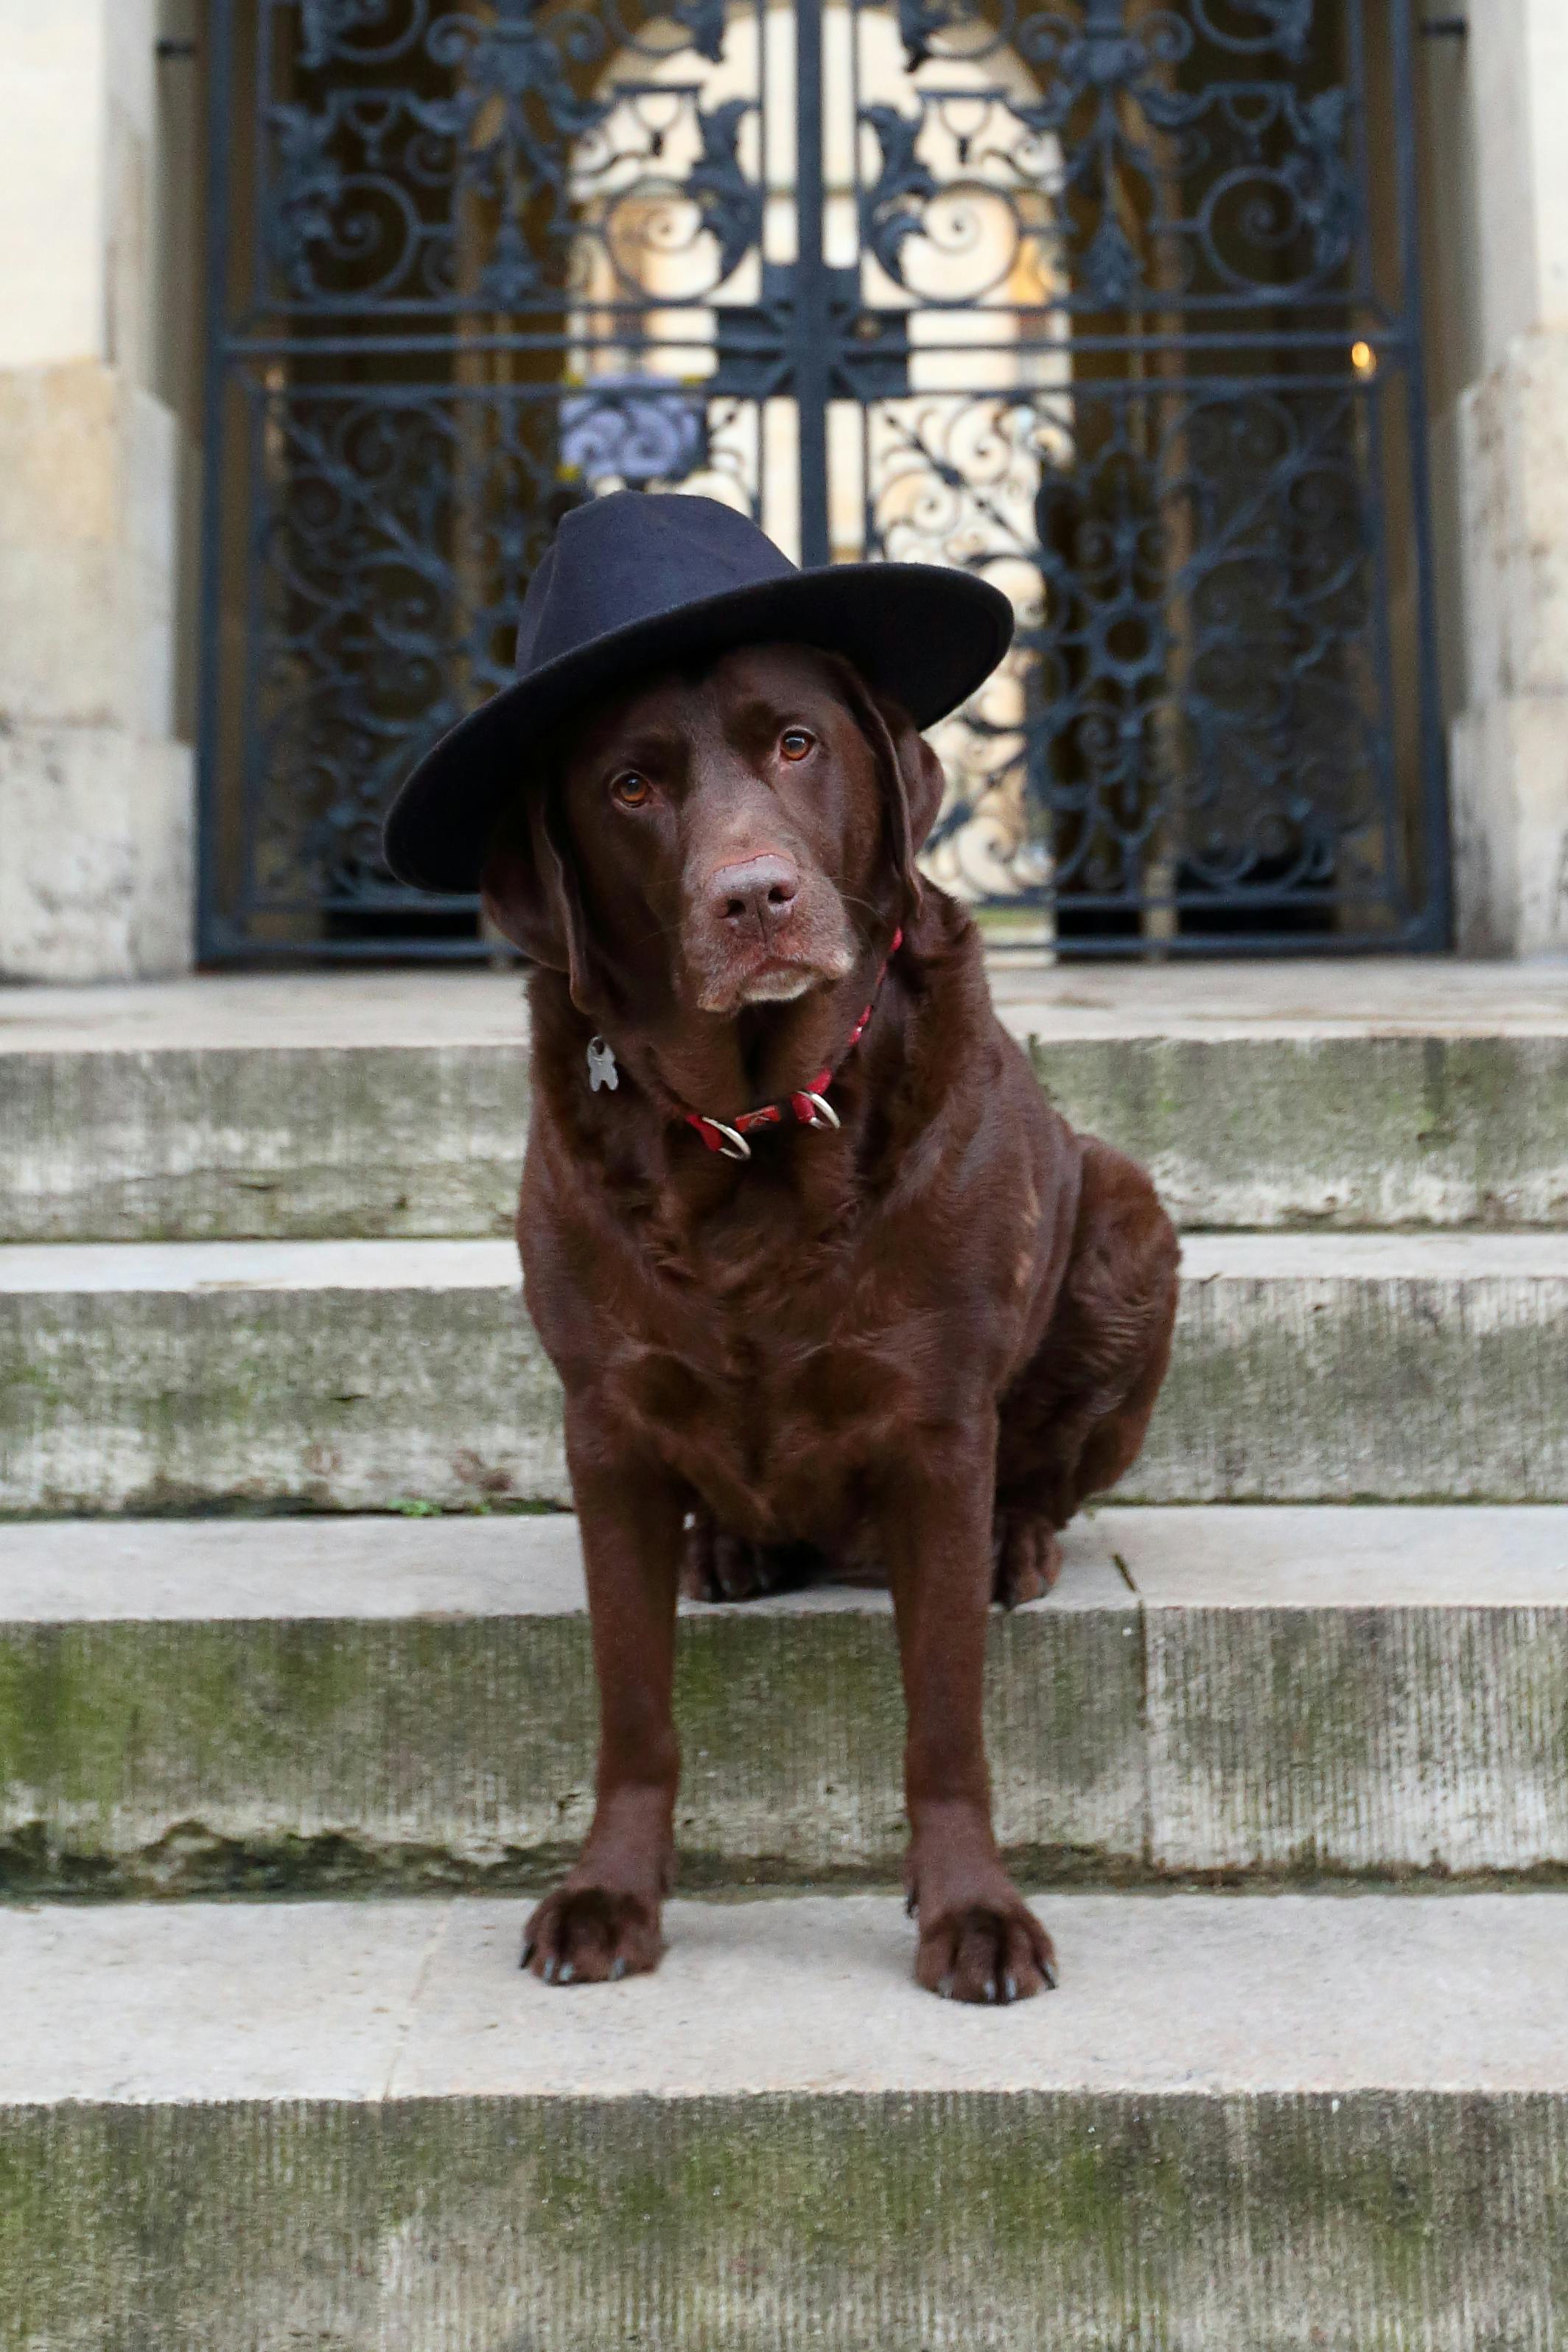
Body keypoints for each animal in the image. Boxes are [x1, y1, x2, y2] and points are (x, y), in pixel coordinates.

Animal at [482, 640, 1175, 2003]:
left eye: (797, 744)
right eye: (631, 785)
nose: (754, 896)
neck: (752, 1135)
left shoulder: (937, 1428)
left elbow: (945, 1717)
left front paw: (972, 1910)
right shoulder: (605, 1427)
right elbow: (632, 1705)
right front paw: (609, 1892)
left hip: (1130, 1221)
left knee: (1046, 1481)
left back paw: (1015, 1545)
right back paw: (725, 1551)